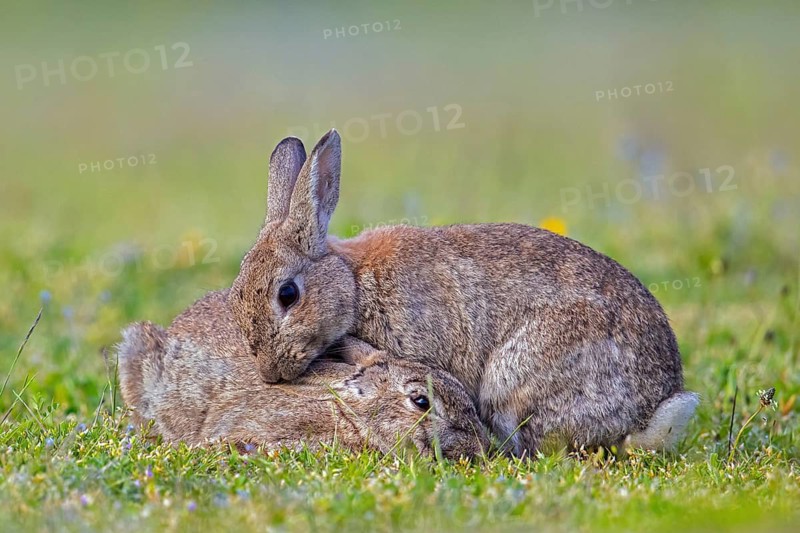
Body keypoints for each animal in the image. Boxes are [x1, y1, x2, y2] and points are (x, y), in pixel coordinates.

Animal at [228, 130, 699, 456]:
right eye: (237, 294)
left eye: (287, 294)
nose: (270, 373)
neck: (353, 283)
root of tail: (646, 416)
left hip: (516, 378)